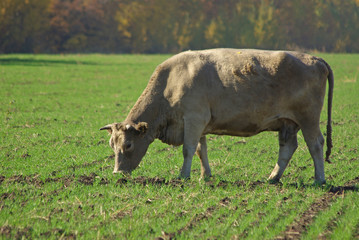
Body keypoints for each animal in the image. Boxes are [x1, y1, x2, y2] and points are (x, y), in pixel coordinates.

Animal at [99, 48, 334, 184]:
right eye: (112, 145)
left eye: (128, 145)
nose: (117, 173)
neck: (170, 82)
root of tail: (315, 58)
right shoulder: (198, 124)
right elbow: (200, 150)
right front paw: (205, 176)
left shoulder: (194, 118)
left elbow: (188, 149)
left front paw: (183, 176)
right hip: (288, 123)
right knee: (288, 147)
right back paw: (273, 178)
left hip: (308, 118)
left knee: (315, 144)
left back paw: (319, 179)